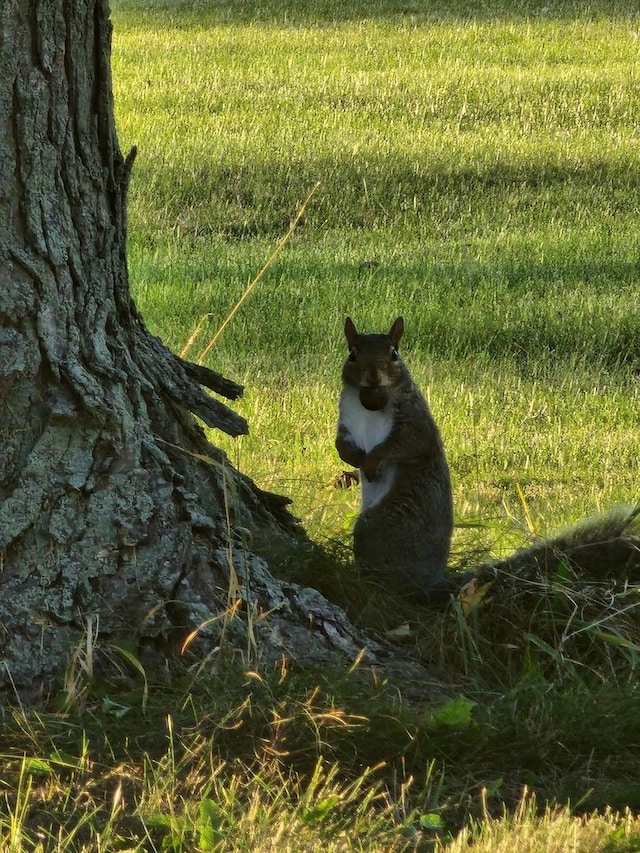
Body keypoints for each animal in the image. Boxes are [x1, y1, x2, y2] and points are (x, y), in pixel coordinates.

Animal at [336, 316, 456, 604]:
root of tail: (430, 580)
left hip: (382, 525)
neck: (369, 400)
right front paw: (355, 458)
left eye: (394, 353)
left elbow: (402, 445)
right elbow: (340, 445)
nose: (373, 376)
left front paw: (370, 464)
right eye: (352, 354)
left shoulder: (415, 422)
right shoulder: (345, 422)